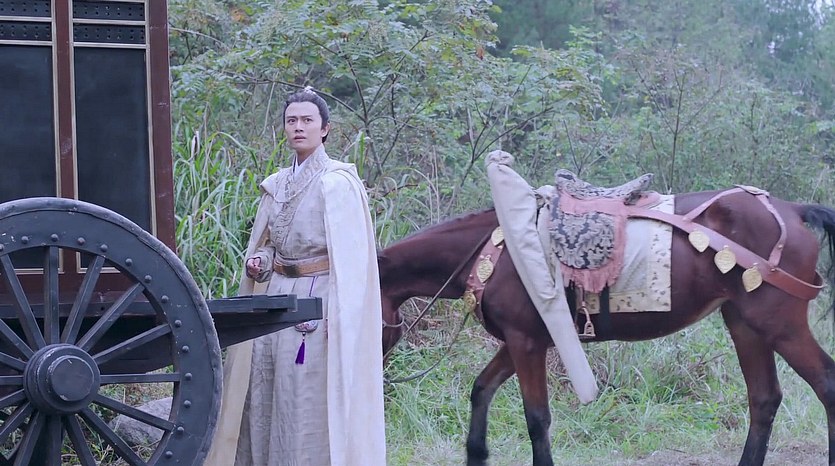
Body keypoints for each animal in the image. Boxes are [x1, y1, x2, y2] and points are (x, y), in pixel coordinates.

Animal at [378, 189, 835, 466]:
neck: (497, 251)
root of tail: (792, 211)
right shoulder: (520, 341)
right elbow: (481, 390)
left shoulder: (526, 342)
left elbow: (536, 417)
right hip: (745, 324)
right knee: (764, 399)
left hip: (779, 323)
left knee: (825, 383)